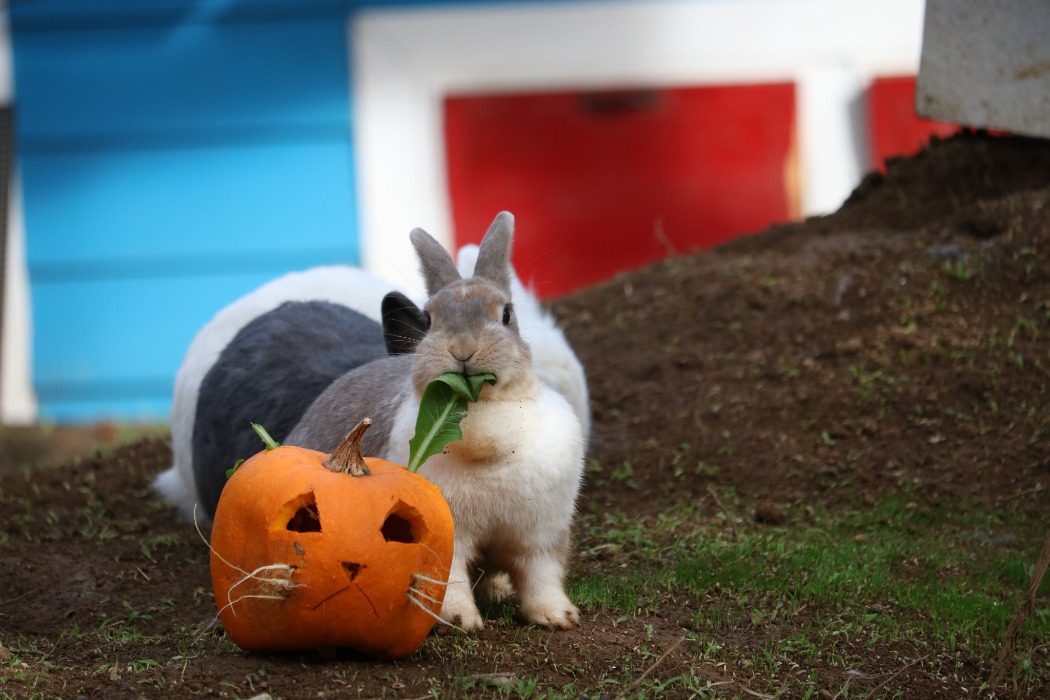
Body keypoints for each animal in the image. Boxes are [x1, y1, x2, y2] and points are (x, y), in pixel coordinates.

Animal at [283, 210, 588, 633]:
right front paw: (461, 621)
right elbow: (449, 579)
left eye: (506, 314)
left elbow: (541, 577)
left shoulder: (540, 534)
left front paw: (558, 617)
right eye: (429, 319)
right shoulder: (444, 537)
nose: (462, 349)